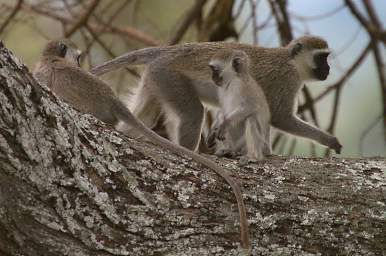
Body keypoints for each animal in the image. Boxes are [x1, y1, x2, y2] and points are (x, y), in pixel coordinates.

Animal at [91, 35, 344, 155]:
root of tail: (167, 51)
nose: (328, 69)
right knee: (194, 113)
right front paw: (328, 139)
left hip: (155, 80)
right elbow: (281, 118)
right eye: (322, 57)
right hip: (169, 77)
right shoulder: (286, 80)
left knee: (143, 118)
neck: (291, 62)